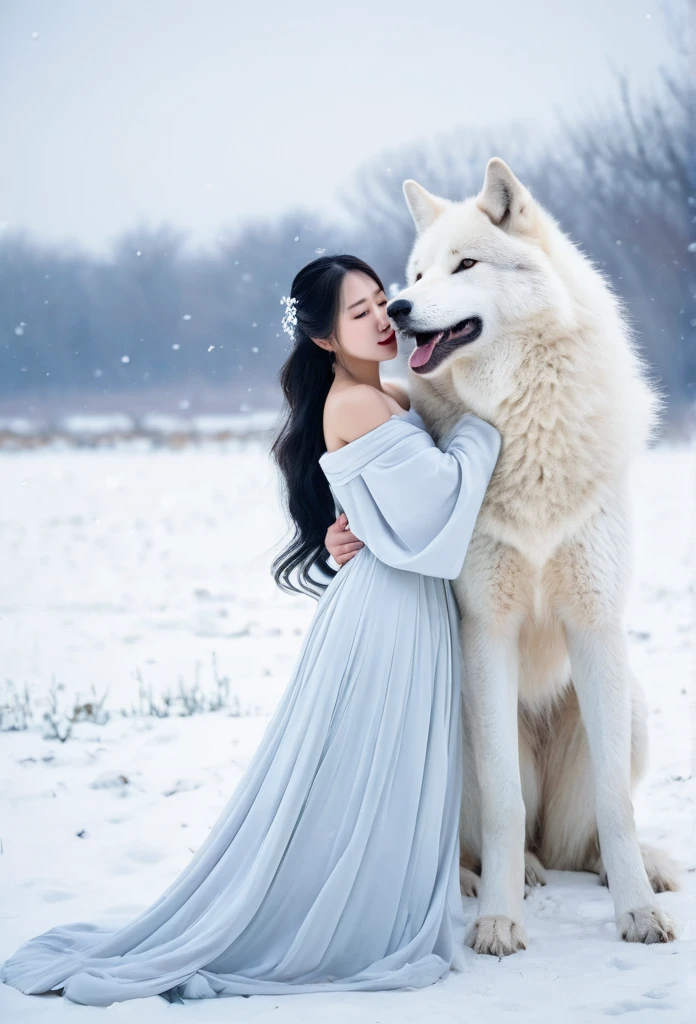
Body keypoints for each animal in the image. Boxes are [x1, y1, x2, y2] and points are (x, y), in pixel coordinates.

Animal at [382, 155, 675, 954]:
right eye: (416, 274)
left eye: (465, 264)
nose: (394, 309)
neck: (525, 425)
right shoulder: (489, 630)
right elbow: (505, 806)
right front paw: (499, 921)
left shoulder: (597, 625)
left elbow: (616, 801)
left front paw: (638, 913)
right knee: (497, 836)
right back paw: (483, 883)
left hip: (633, 703)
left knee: (581, 841)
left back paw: (630, 868)